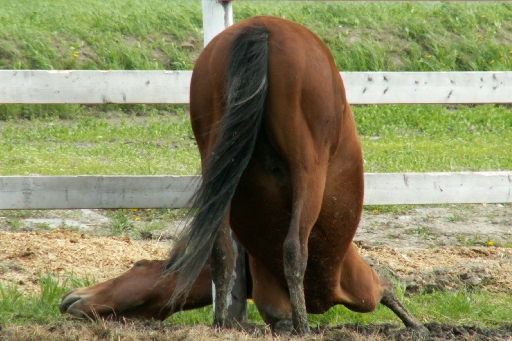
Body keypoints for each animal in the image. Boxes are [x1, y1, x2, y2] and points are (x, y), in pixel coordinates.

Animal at [163, 15, 424, 334]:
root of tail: (262, 26)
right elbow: (381, 289)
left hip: (215, 162)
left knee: (221, 249)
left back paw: (221, 323)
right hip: (308, 170)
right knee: (294, 249)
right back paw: (303, 327)